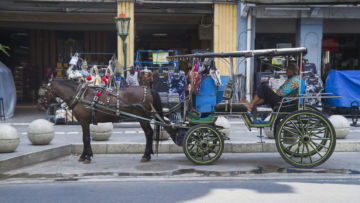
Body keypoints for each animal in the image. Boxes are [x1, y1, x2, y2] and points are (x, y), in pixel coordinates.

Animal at [45, 79, 179, 163]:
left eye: (45, 90)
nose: (42, 102)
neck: (80, 95)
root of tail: (148, 89)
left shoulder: (84, 121)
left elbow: (86, 138)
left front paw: (87, 157)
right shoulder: (85, 122)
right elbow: (85, 139)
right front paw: (85, 155)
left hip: (142, 118)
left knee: (149, 133)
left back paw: (146, 155)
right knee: (149, 134)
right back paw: (148, 154)